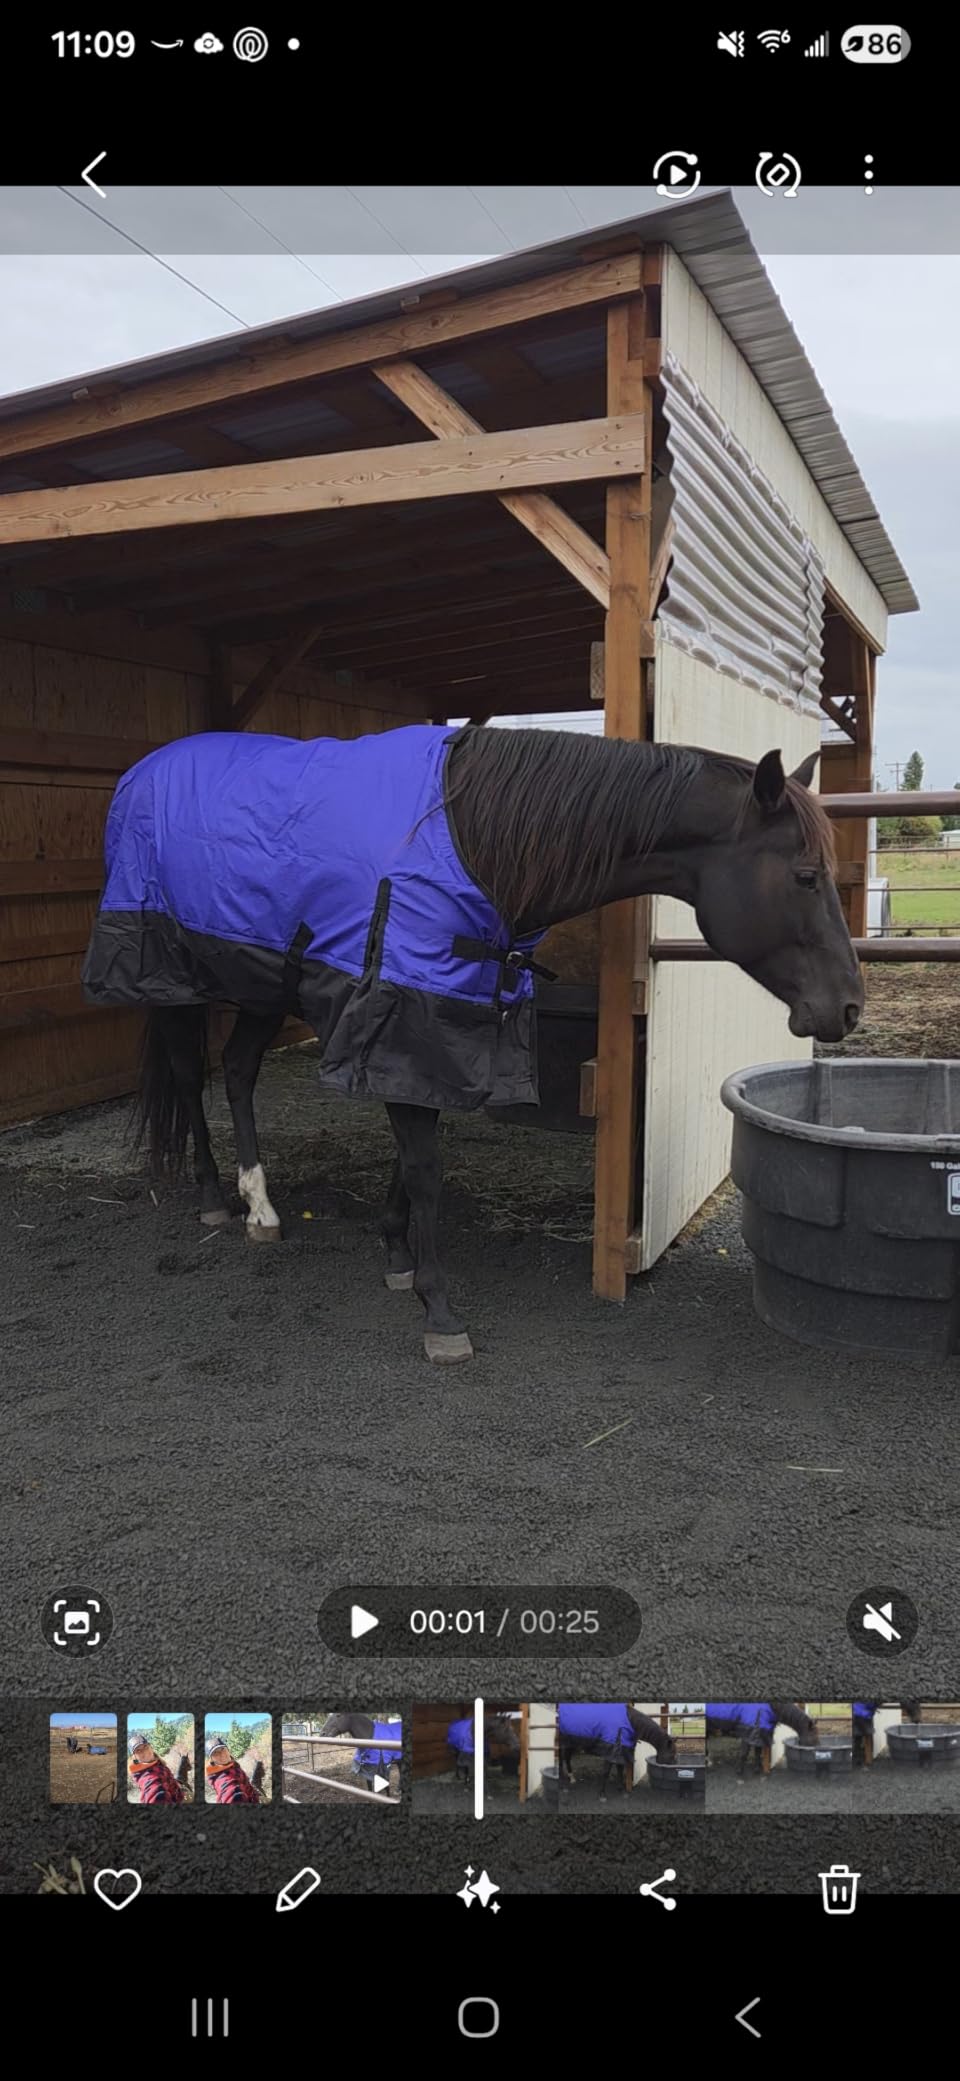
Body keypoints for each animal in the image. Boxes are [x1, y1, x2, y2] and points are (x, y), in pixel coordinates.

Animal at [86, 723, 861, 1364]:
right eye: (805, 876)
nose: (849, 1007)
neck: (472, 842)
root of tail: (146, 768)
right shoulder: (400, 1012)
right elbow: (425, 1165)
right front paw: (438, 1307)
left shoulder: (441, 1024)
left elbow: (413, 1157)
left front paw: (396, 1252)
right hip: (176, 975)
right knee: (189, 1076)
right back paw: (217, 1197)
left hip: (263, 983)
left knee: (240, 1070)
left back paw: (262, 1208)